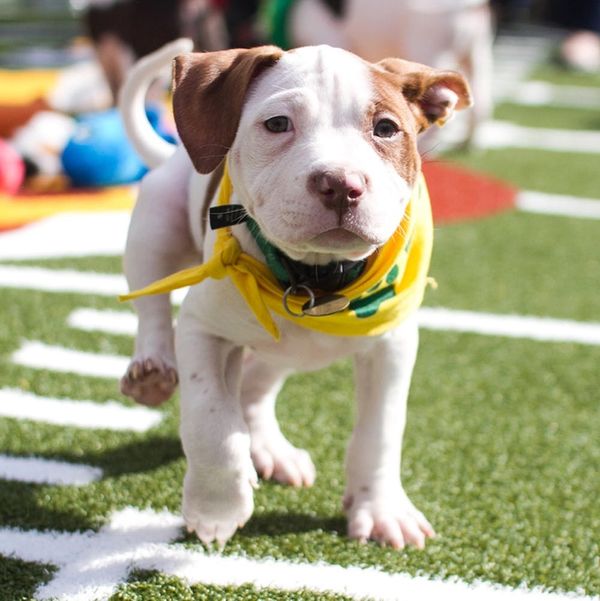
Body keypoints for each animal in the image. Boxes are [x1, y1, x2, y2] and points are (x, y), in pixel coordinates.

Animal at [119, 37, 472, 548]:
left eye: (386, 128)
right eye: (277, 124)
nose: (341, 184)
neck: (316, 278)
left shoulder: (392, 345)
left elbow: (381, 431)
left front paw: (381, 509)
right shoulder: (203, 328)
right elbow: (211, 422)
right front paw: (216, 506)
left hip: (284, 350)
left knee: (254, 386)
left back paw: (271, 450)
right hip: (154, 222)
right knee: (151, 308)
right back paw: (151, 371)